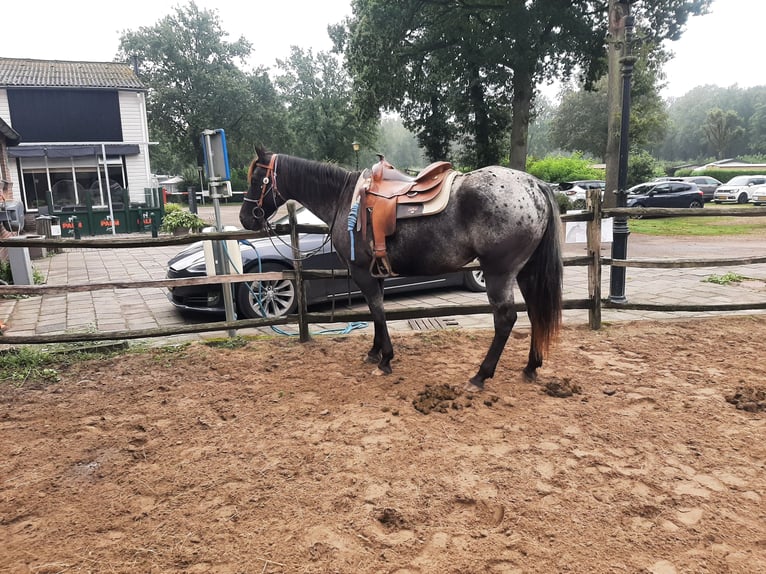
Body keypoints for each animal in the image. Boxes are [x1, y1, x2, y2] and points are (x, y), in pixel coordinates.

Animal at [240, 147, 564, 396]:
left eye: (257, 178)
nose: (245, 218)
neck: (345, 199)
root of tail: (535, 186)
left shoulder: (362, 272)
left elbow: (376, 310)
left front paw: (385, 359)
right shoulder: (376, 273)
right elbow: (376, 312)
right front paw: (374, 353)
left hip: (498, 272)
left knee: (506, 319)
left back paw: (480, 376)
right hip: (525, 272)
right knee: (535, 312)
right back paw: (531, 367)